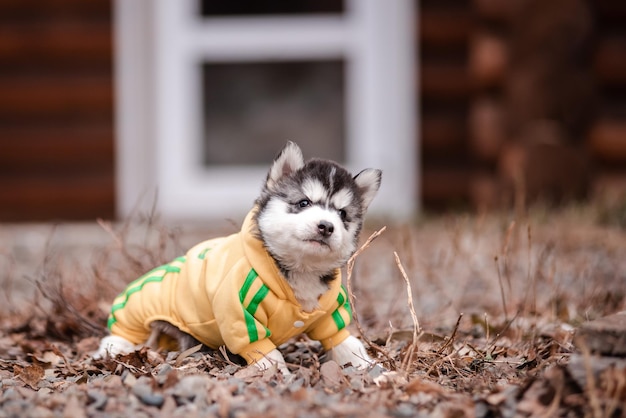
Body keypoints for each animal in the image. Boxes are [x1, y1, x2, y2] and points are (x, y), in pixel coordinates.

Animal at [95, 142, 380, 374]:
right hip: (140, 307)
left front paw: (370, 366)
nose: (326, 226)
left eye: (342, 214)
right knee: (121, 334)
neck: (299, 270)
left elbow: (344, 340)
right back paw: (115, 349)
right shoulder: (239, 313)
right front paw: (277, 374)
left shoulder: (330, 312)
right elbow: (265, 350)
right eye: (303, 203)